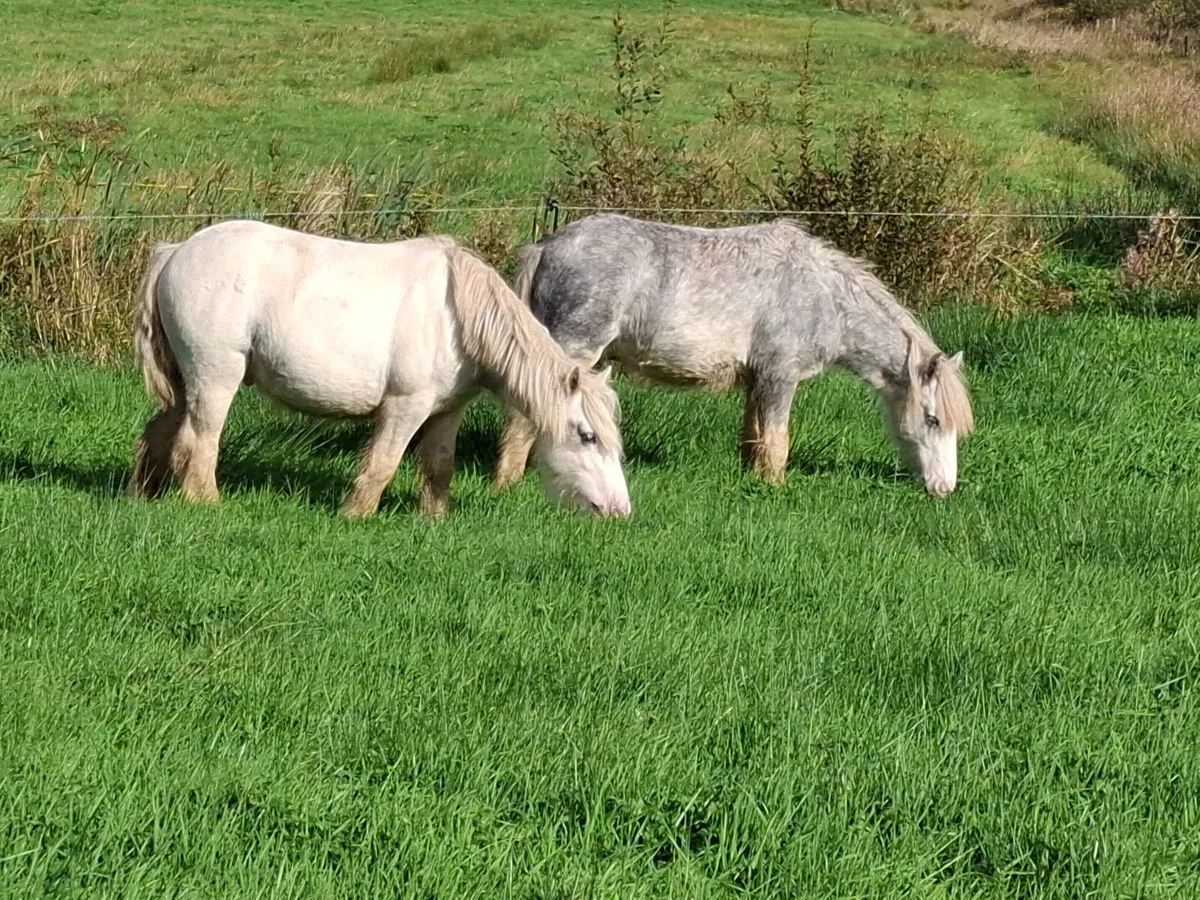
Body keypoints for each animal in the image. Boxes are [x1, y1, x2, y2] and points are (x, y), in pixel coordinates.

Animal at [126, 219, 630, 518]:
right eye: (587, 436)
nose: (619, 509)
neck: (457, 315)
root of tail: (177, 250)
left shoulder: (447, 412)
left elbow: (439, 467)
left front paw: (434, 519)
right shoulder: (406, 408)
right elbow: (383, 465)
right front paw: (355, 515)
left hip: (184, 382)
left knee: (160, 433)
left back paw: (143, 495)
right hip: (216, 378)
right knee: (199, 442)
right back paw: (206, 504)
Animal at [494, 213, 974, 496]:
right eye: (933, 419)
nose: (944, 487)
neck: (824, 296)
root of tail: (547, 245)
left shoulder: (758, 381)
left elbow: (754, 437)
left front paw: (753, 480)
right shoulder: (781, 376)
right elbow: (778, 441)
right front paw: (776, 488)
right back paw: (507, 481)